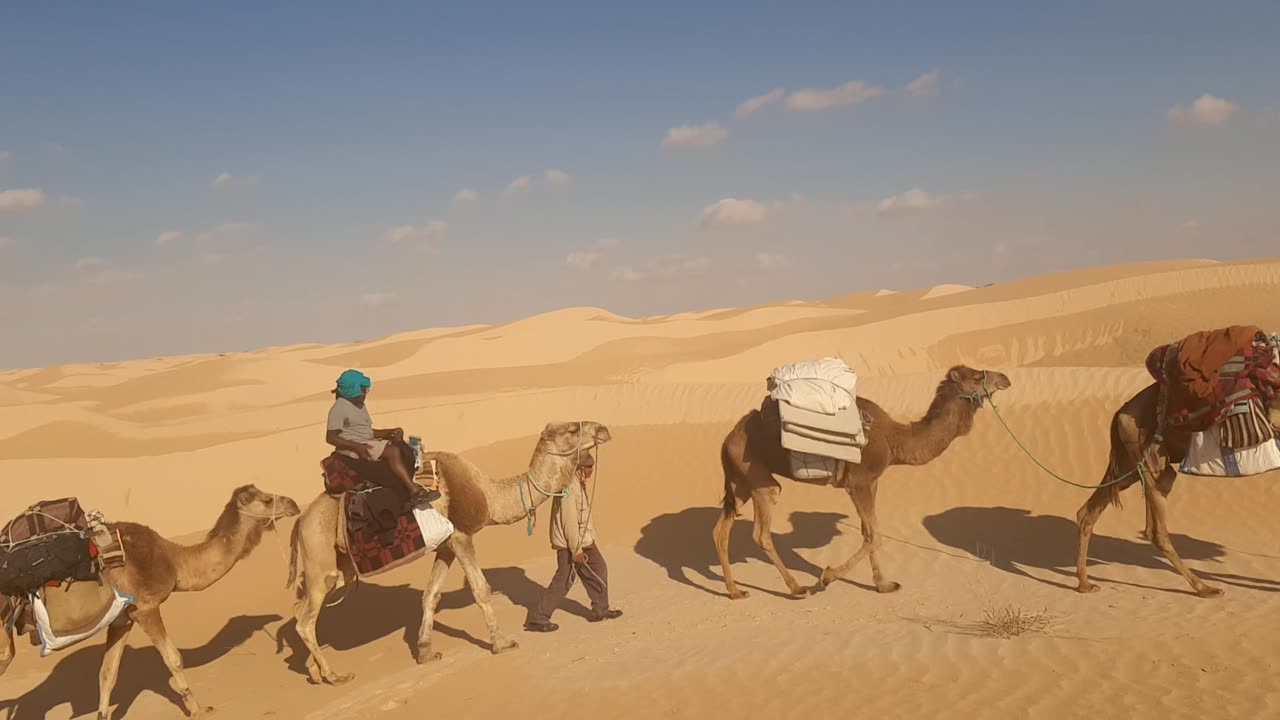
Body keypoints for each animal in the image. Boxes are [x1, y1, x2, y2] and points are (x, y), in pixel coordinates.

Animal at [0, 481, 302, 717]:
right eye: (266, 499)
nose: (293, 503)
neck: (174, 562)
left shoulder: (123, 618)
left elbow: (107, 674)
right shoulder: (147, 607)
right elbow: (174, 658)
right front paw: (199, 710)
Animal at [286, 420, 614, 681]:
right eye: (572, 430)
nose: (603, 429)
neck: (489, 494)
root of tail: (301, 520)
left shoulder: (445, 545)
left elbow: (430, 595)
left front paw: (425, 652)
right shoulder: (461, 535)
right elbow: (481, 589)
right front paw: (502, 643)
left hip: (339, 565)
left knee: (305, 609)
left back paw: (315, 672)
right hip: (319, 552)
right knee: (305, 621)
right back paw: (334, 676)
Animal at [711, 363, 1008, 594]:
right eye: (976, 377)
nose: (1005, 378)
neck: (895, 440)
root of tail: (726, 440)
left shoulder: (872, 482)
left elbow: (869, 532)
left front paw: (884, 585)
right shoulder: (859, 482)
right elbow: (876, 535)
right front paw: (827, 576)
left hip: (741, 482)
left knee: (721, 530)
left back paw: (735, 591)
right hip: (759, 478)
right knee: (761, 531)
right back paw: (796, 588)